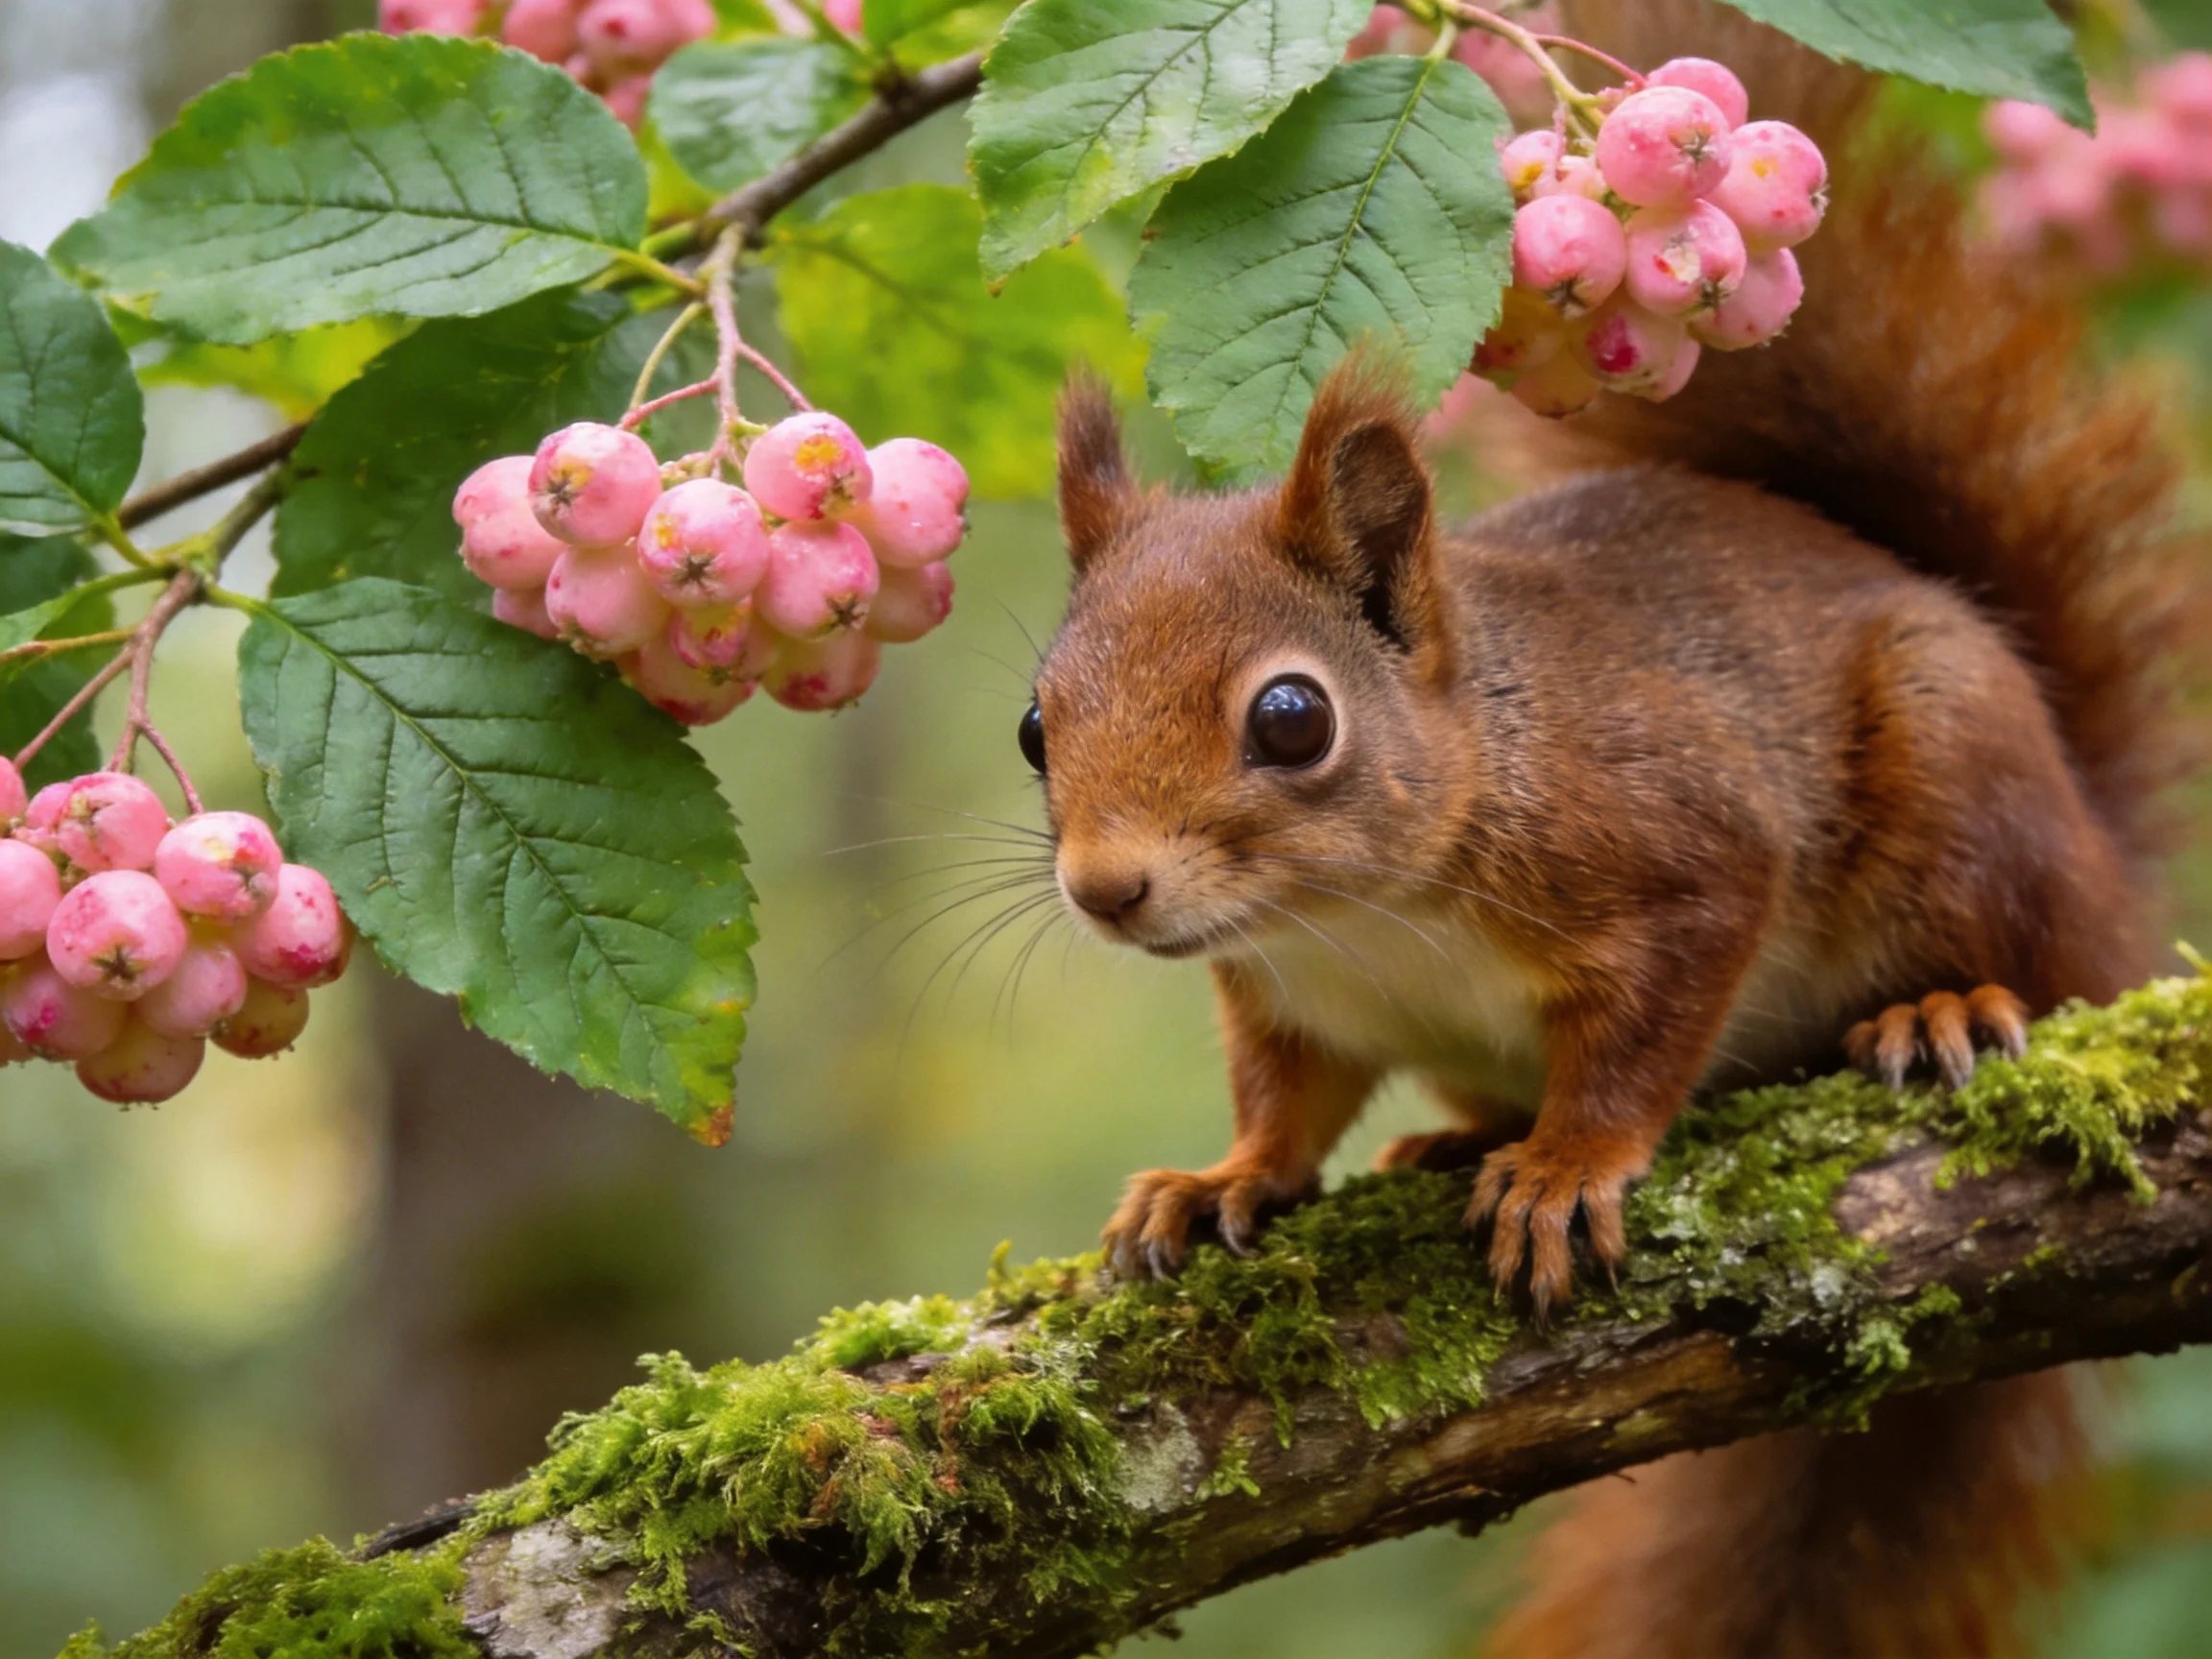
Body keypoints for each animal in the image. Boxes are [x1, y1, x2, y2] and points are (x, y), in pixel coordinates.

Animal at [1020, 2, 2200, 1653]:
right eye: (1034, 727)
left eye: (1293, 719)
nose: (1106, 889)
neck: (1364, 916)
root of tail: (2102, 854)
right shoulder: (1292, 999)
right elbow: (1289, 1100)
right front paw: (1222, 1180)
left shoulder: (1677, 848)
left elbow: (1651, 1027)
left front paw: (1570, 1164)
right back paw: (1450, 1136)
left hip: (1967, 784)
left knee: (2036, 954)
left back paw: (1948, 1006)